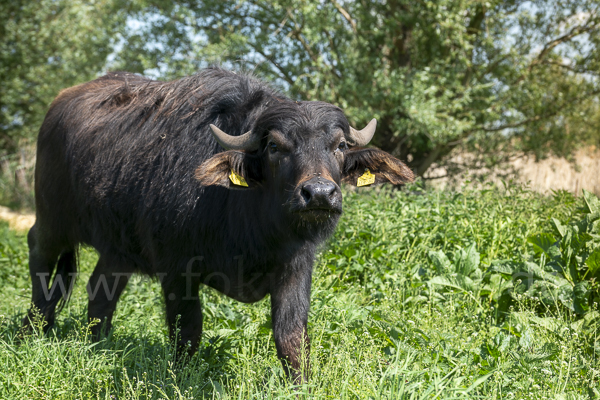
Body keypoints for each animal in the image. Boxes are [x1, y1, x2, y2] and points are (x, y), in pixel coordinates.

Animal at [22, 68, 412, 382]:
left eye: (340, 144)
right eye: (274, 146)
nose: (318, 193)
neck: (252, 226)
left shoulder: (296, 267)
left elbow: (291, 336)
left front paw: (301, 385)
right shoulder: (178, 269)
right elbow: (188, 331)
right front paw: (183, 378)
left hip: (118, 248)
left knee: (100, 290)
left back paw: (99, 344)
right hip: (52, 219)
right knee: (39, 258)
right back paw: (33, 330)